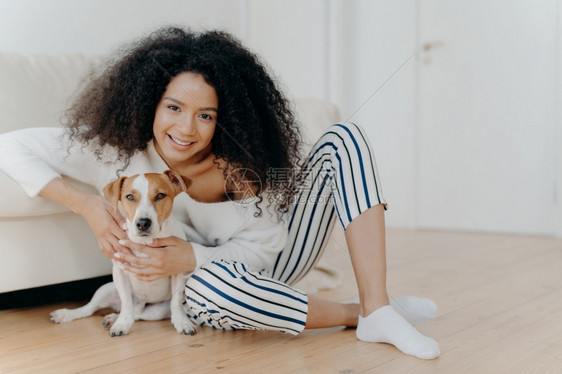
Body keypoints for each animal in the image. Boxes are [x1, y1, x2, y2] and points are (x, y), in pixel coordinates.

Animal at [48, 171, 197, 338]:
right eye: (130, 197)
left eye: (160, 195)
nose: (143, 223)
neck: (144, 243)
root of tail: (141, 303)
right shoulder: (120, 272)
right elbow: (126, 302)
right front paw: (121, 324)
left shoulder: (178, 272)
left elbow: (176, 302)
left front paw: (182, 322)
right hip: (106, 289)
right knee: (90, 308)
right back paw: (67, 314)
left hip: (158, 310)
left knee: (138, 314)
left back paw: (112, 318)